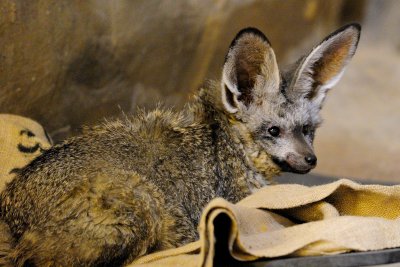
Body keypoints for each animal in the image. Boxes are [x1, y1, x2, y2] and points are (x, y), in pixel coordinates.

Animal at [0, 24, 360, 266]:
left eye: (308, 130)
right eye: (273, 130)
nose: (311, 160)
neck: (226, 145)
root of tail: (12, 217)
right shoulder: (237, 201)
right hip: (143, 203)